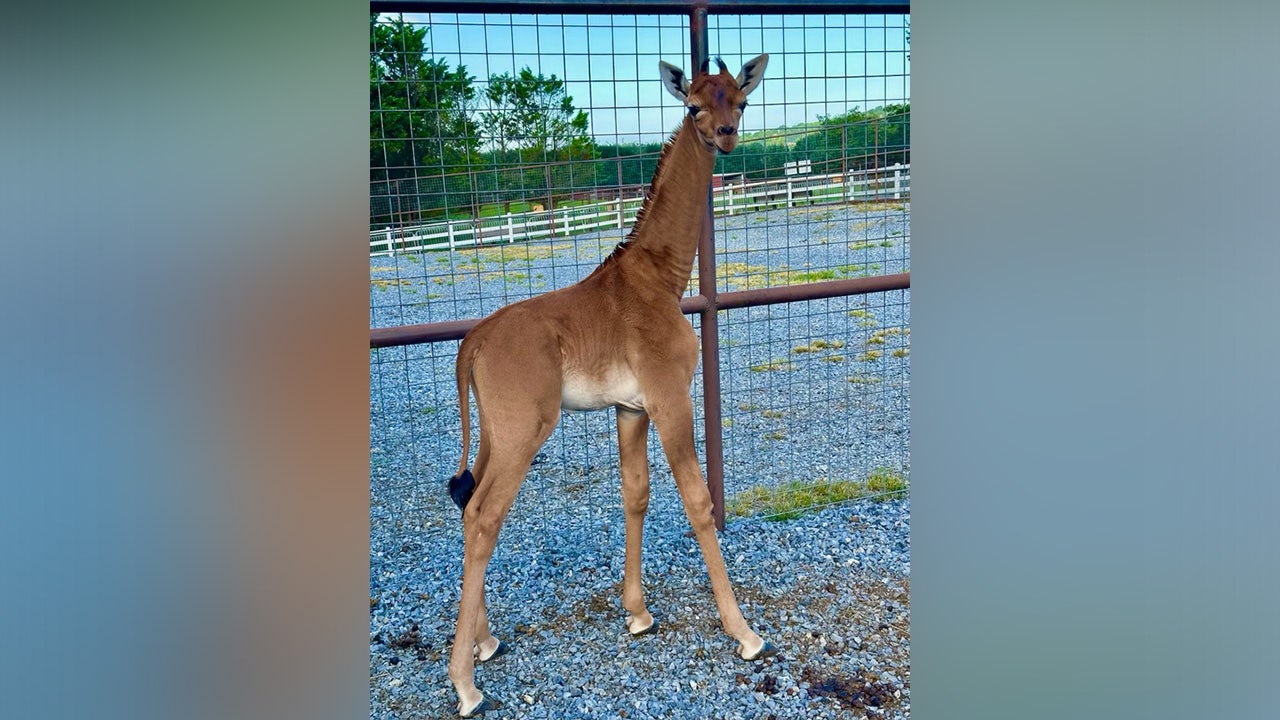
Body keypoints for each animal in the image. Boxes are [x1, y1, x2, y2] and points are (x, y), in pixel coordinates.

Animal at [444, 54, 771, 717]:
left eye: (741, 100)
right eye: (693, 106)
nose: (726, 136)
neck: (662, 279)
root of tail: (473, 342)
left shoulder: (630, 408)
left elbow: (635, 494)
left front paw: (638, 613)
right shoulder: (670, 398)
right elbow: (698, 501)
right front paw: (745, 633)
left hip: (493, 432)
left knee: (468, 507)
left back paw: (485, 642)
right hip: (525, 430)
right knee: (485, 516)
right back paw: (465, 684)